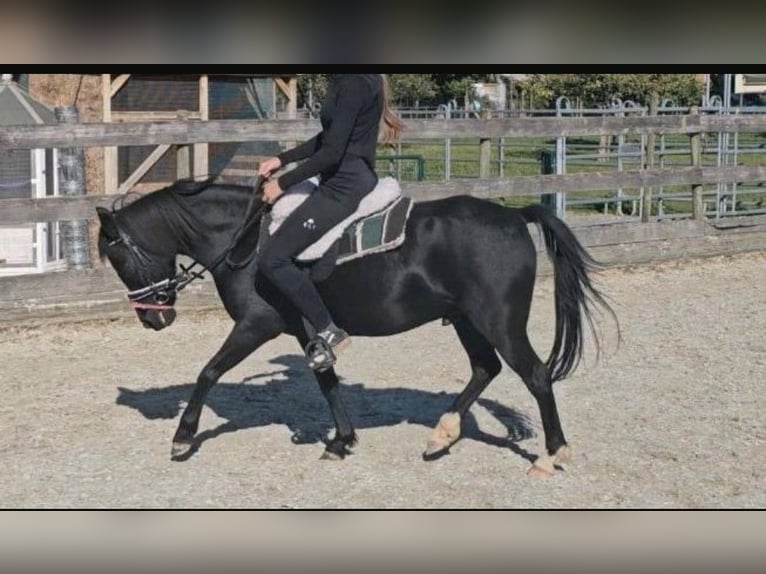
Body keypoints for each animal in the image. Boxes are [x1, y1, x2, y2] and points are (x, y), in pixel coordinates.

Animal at [96, 178, 616, 477]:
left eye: (118, 256)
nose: (153, 317)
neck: (245, 240)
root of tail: (512, 213)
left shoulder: (257, 324)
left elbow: (208, 372)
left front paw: (183, 437)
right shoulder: (308, 331)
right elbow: (326, 381)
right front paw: (341, 441)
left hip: (499, 320)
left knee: (536, 375)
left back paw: (552, 455)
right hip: (469, 321)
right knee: (485, 369)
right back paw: (441, 435)